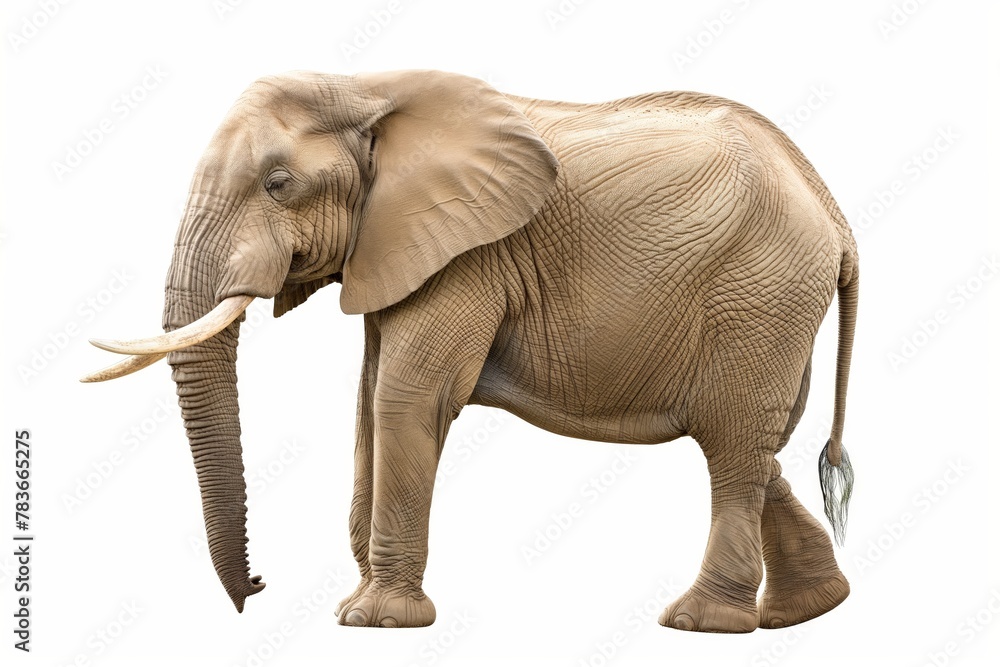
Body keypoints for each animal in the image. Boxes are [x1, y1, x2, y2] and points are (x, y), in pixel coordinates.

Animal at [84, 70, 860, 636]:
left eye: (278, 184)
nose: (257, 585)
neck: (365, 89)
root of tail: (834, 212)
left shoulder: (469, 256)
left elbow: (406, 397)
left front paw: (375, 620)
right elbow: (368, 403)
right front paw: (355, 606)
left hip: (761, 294)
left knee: (732, 446)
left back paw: (701, 623)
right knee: (758, 445)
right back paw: (807, 612)